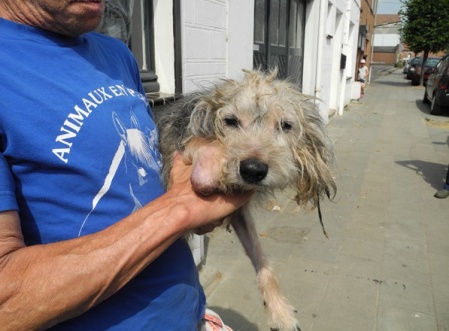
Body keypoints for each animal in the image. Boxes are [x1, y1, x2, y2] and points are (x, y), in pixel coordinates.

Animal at [154, 70, 332, 331]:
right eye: (230, 121)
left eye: (285, 125)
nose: (253, 170)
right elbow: (199, 147)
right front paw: (208, 165)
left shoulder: (239, 214)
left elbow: (261, 259)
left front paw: (280, 311)